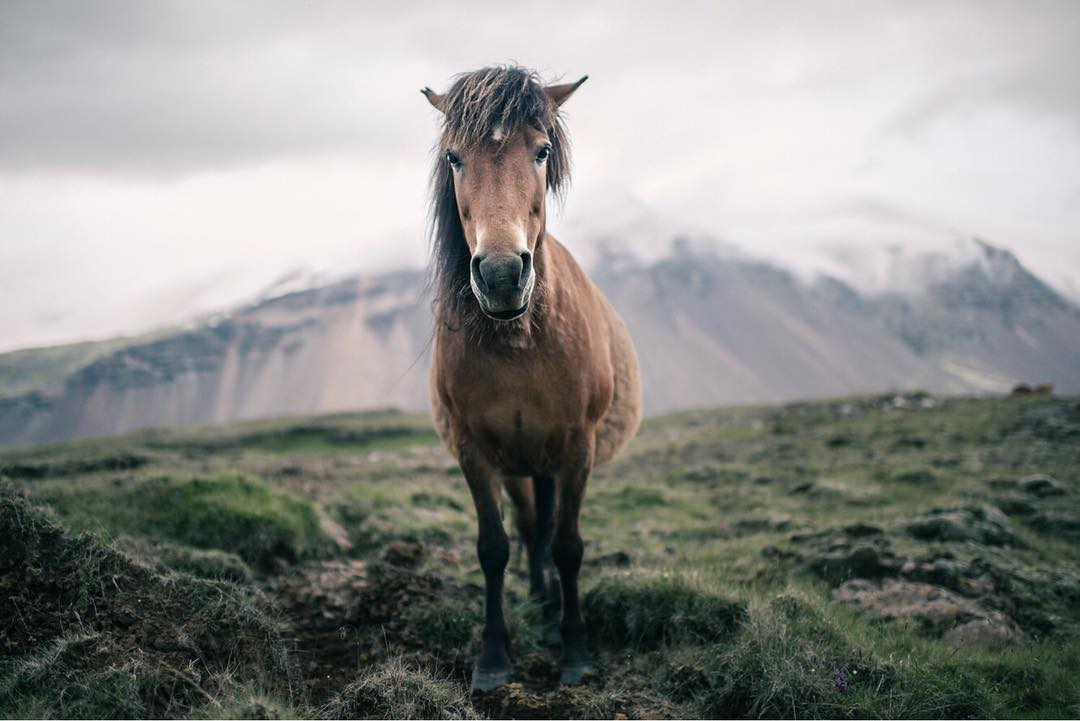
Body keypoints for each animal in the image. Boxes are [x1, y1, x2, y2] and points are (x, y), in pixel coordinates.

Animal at [420, 66, 642, 691]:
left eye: (541, 151)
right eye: (454, 157)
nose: (499, 275)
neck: (520, 343)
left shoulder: (577, 447)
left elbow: (567, 546)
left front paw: (575, 650)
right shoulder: (474, 451)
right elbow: (494, 547)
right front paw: (494, 656)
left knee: (544, 531)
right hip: (520, 465)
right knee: (527, 525)